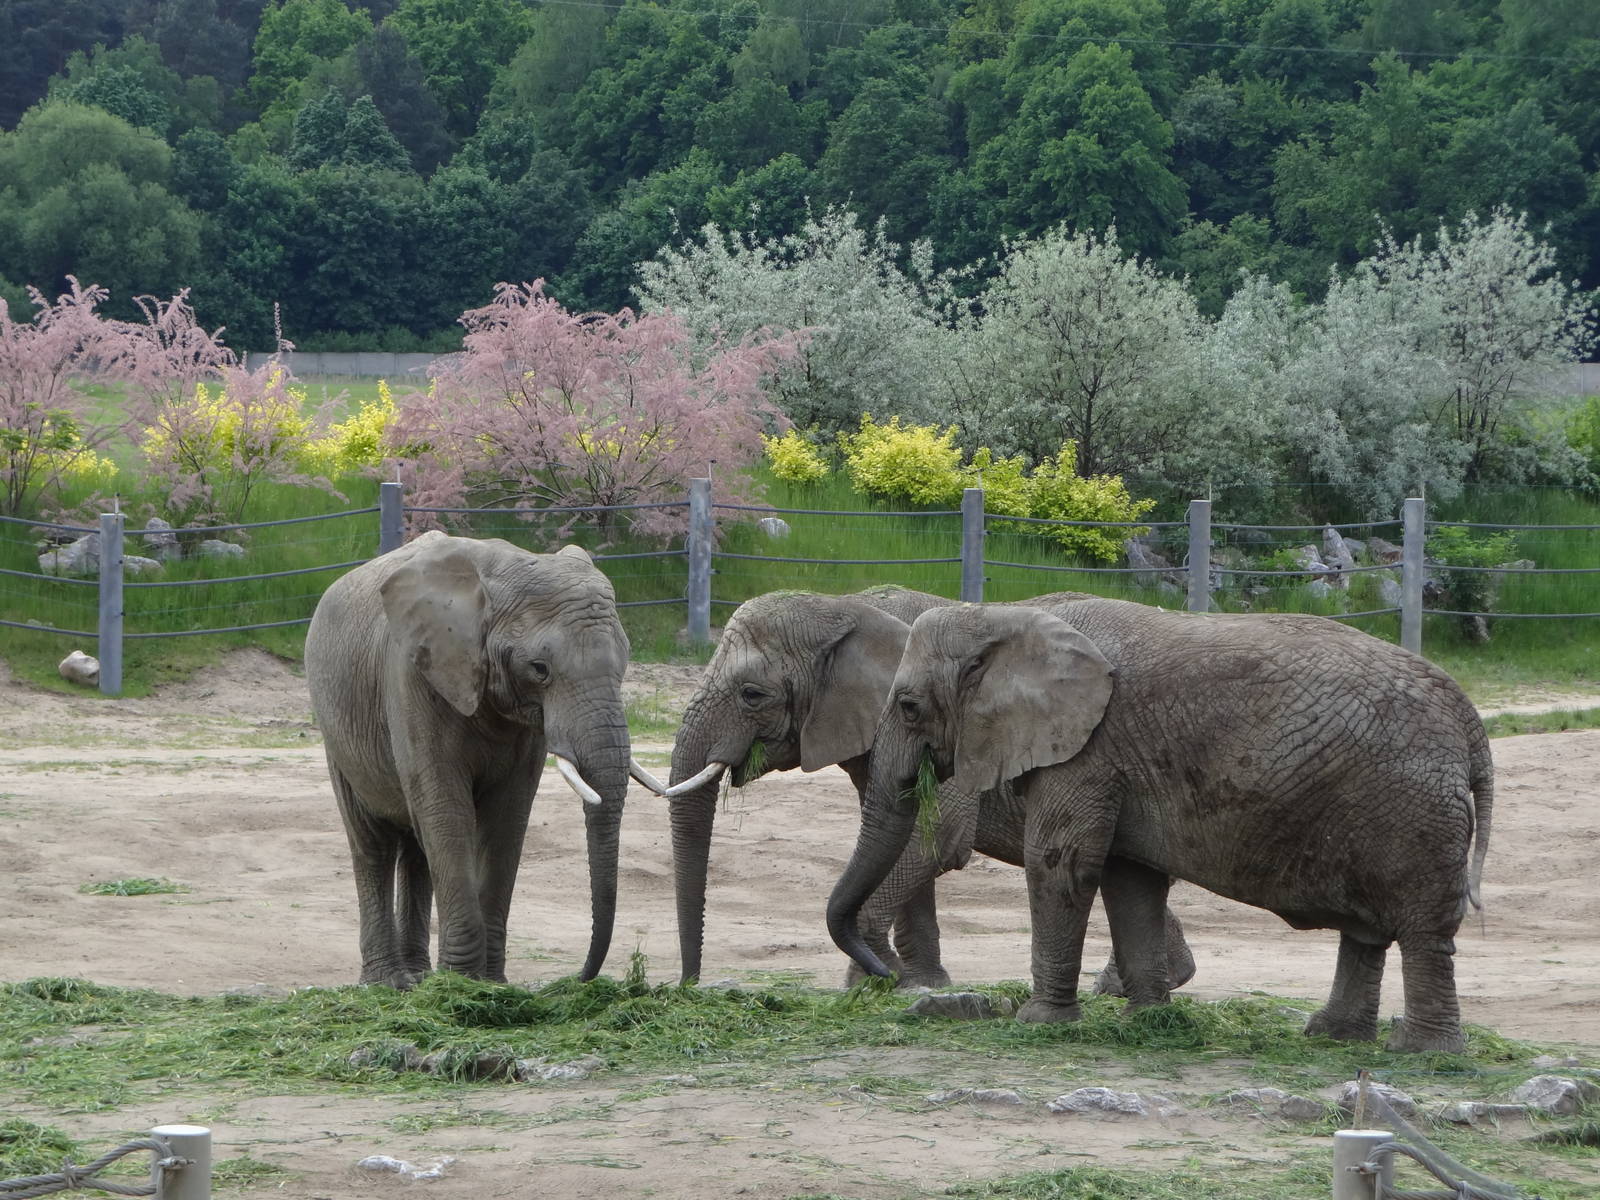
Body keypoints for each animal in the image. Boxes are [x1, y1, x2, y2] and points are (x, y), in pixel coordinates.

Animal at [305, 530, 658, 989]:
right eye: (540, 668)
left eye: (626, 661)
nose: (582, 977)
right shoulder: (411, 674)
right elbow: (446, 807)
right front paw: (461, 983)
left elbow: (506, 818)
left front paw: (488, 984)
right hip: (336, 727)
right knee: (373, 842)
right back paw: (388, 983)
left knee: (417, 847)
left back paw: (419, 977)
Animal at [662, 586, 1194, 992]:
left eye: (752, 694)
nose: (689, 985)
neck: (846, 607)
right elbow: (900, 841)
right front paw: (920, 983)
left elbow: (936, 837)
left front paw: (874, 982)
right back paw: (1156, 981)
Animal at [827, 596, 1493, 1053]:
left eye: (908, 707)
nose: (882, 978)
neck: (1003, 619)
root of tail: (1471, 724)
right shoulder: (1116, 763)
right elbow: (1130, 881)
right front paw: (1148, 1022)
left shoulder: (1089, 750)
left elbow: (1060, 862)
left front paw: (1040, 1023)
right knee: (1368, 932)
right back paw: (1331, 1037)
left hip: (1411, 811)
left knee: (1422, 929)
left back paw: (1421, 1052)